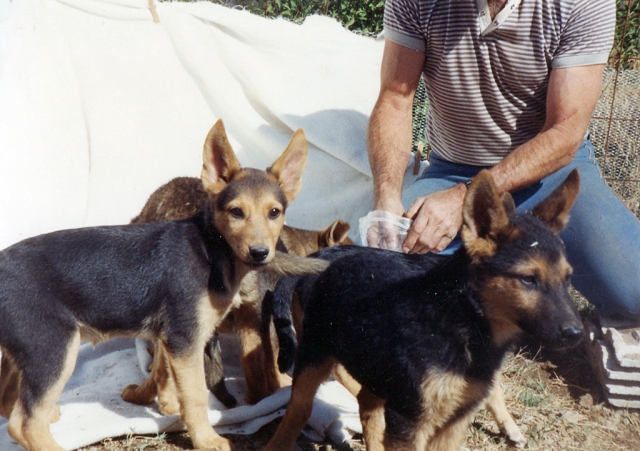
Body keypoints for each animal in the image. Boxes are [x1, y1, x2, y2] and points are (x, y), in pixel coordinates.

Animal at [0, 121, 328, 451]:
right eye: (236, 212)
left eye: (275, 212)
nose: (261, 253)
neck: (211, 250)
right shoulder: (185, 338)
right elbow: (194, 396)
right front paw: (207, 440)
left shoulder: (171, 337)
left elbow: (161, 373)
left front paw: (144, 398)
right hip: (54, 349)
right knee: (26, 423)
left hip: (26, 353)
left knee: (10, 406)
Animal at [264, 170, 584, 451]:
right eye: (528, 279)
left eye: (568, 278)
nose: (576, 334)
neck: (463, 320)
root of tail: (321, 255)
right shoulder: (411, 419)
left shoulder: (453, 421)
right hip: (317, 355)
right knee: (299, 411)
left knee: (366, 404)